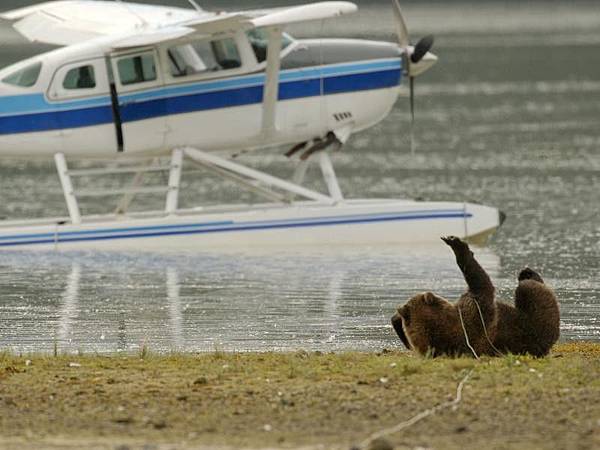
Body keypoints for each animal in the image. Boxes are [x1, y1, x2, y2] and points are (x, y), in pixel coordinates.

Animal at [392, 237, 560, 356]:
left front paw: (396, 320)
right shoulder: (473, 318)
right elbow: (482, 285)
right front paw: (458, 246)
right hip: (534, 326)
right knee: (529, 291)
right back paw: (527, 274)